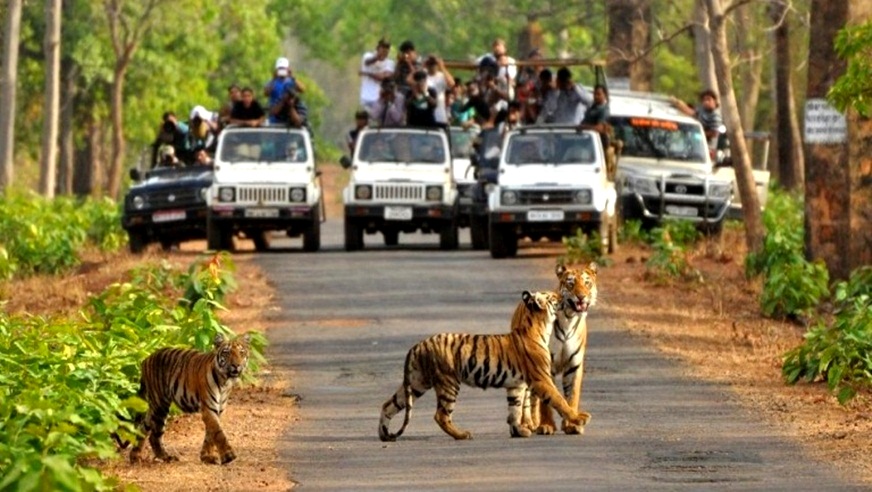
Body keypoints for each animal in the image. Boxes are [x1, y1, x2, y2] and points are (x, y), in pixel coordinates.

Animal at [129, 332, 252, 464]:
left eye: (241, 353)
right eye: (227, 352)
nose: (236, 365)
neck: (225, 381)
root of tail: (146, 359)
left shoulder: (218, 409)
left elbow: (210, 434)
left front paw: (206, 456)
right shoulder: (209, 408)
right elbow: (218, 432)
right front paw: (228, 456)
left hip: (155, 407)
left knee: (143, 427)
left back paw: (135, 456)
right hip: (160, 404)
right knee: (154, 435)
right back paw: (165, 457)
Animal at [378, 288, 588, 442]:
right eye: (552, 297)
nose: (563, 296)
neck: (539, 326)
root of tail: (418, 345)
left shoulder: (516, 385)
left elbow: (515, 409)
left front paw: (518, 431)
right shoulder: (541, 379)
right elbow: (559, 400)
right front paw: (579, 418)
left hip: (417, 382)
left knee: (388, 404)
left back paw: (384, 434)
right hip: (448, 382)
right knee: (441, 415)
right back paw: (462, 435)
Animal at [520, 262, 596, 434]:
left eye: (587, 283)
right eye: (571, 283)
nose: (581, 296)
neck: (569, 318)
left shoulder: (574, 365)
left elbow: (571, 396)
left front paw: (572, 425)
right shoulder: (544, 366)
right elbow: (547, 400)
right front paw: (546, 425)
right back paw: (528, 424)